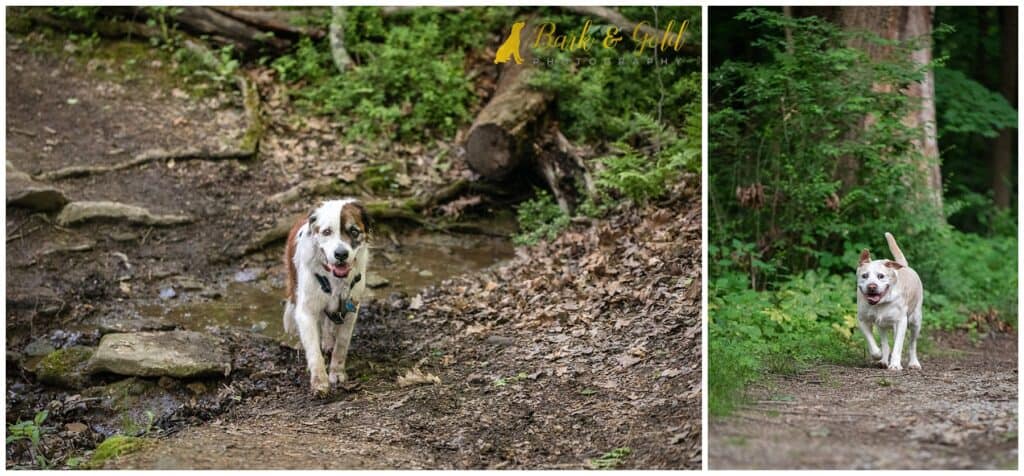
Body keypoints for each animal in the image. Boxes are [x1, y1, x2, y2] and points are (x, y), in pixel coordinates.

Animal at [284, 196, 372, 393]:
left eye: (354, 231)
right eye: (326, 232)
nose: (341, 254)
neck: (334, 279)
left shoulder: (351, 307)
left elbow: (342, 343)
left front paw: (337, 372)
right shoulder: (306, 311)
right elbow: (313, 349)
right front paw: (319, 381)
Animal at [851, 232, 925, 368]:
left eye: (881, 276)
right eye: (865, 275)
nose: (872, 286)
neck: (881, 302)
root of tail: (905, 266)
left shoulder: (901, 322)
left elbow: (898, 346)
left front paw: (895, 365)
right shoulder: (862, 320)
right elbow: (871, 341)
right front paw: (877, 355)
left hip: (916, 321)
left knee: (912, 344)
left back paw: (913, 363)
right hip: (882, 325)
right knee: (885, 343)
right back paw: (883, 361)